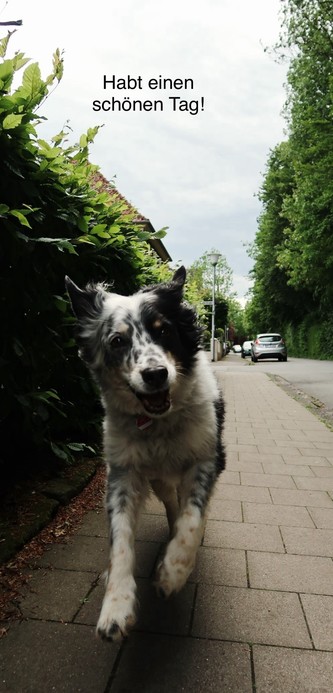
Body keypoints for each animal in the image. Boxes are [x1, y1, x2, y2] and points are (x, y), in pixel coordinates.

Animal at [65, 268, 224, 640]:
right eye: (117, 342)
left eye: (163, 330)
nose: (155, 375)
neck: (158, 423)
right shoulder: (123, 473)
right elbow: (120, 539)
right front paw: (116, 605)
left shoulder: (206, 459)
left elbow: (193, 519)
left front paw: (174, 571)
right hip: (159, 480)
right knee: (171, 503)